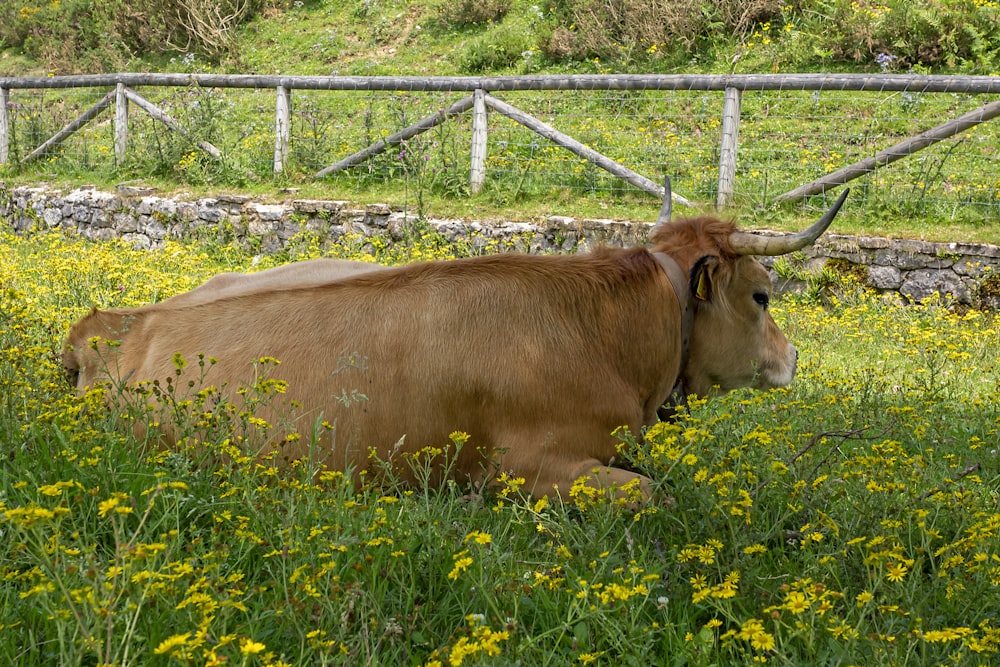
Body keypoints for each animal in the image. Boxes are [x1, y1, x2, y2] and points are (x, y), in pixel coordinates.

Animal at [64, 187, 844, 500]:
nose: (793, 358)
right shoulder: (533, 468)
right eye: (763, 295)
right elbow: (656, 497)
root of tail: (114, 323)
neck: (605, 338)